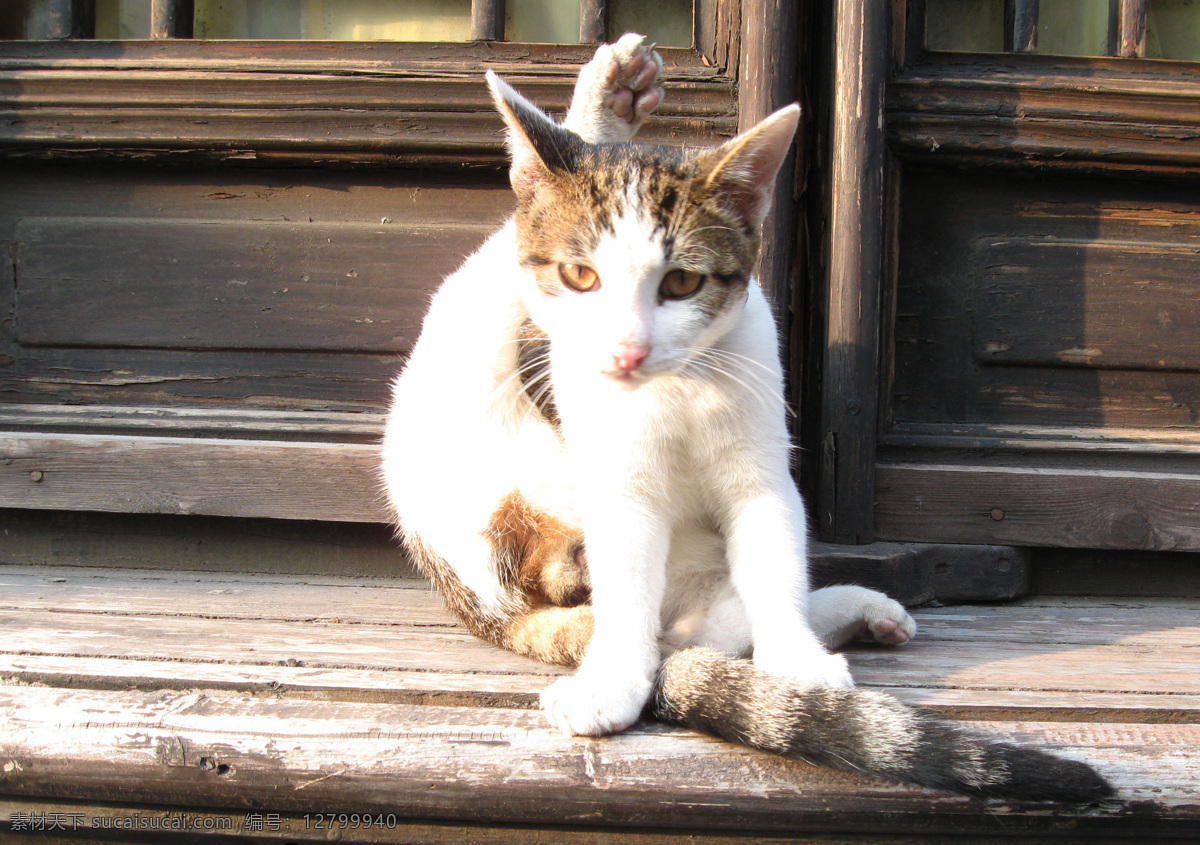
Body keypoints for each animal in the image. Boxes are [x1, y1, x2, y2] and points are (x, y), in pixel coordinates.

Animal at [379, 31, 1108, 796]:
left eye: (680, 283)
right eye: (581, 276)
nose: (626, 351)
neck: (679, 389)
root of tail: (469, 590)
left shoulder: (761, 469)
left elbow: (771, 560)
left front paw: (796, 663)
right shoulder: (623, 489)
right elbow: (630, 592)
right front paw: (614, 680)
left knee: (706, 626)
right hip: (482, 378)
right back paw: (602, 105)